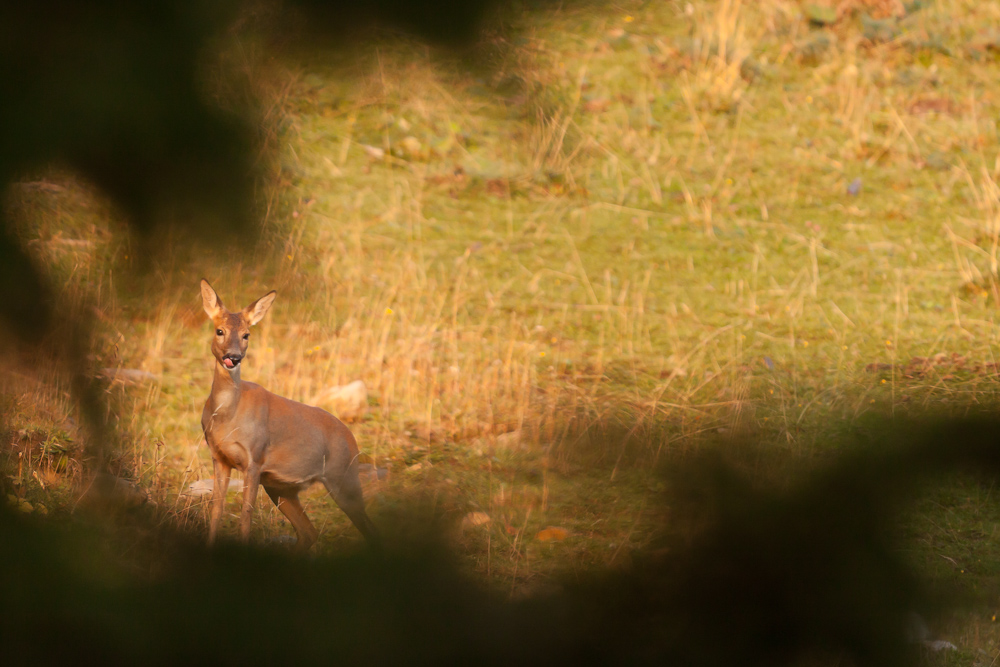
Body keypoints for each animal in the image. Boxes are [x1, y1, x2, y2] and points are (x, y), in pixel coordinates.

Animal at [198, 280, 378, 552]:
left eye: (246, 335)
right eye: (219, 330)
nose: (233, 358)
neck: (227, 417)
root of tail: (352, 437)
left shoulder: (255, 458)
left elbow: (245, 514)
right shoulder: (219, 458)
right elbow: (216, 510)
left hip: (344, 477)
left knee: (370, 528)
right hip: (281, 488)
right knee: (308, 532)